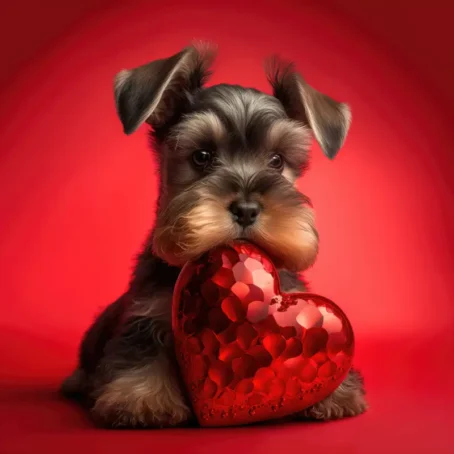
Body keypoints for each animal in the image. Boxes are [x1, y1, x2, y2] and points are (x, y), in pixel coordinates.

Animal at [62, 40, 368, 428]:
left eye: (277, 161)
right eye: (202, 156)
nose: (247, 209)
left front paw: (334, 392)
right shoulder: (146, 314)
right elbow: (139, 353)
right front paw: (141, 399)